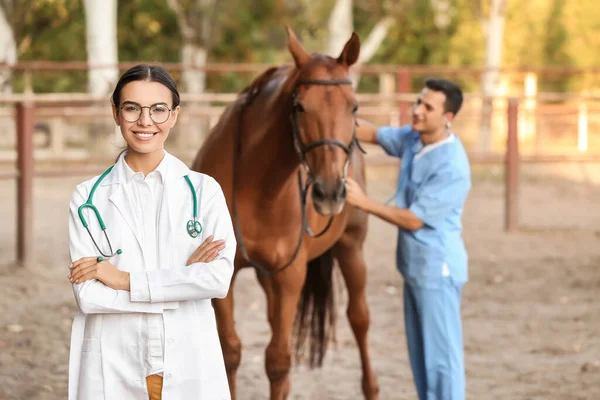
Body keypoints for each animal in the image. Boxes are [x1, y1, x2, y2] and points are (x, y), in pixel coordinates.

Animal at [192, 26, 378, 398]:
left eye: (353, 106)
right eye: (300, 106)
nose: (329, 191)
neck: (258, 187)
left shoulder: (291, 275)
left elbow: (278, 360)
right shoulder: (224, 272)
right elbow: (230, 351)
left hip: (351, 248)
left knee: (359, 318)